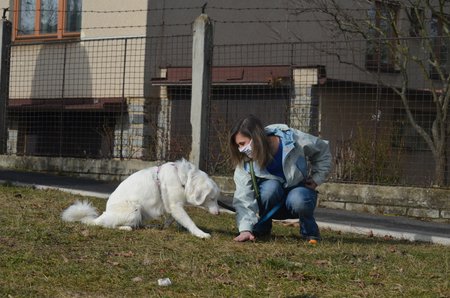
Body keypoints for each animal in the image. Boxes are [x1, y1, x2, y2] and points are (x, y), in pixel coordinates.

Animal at [61, 159, 220, 239]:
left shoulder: (171, 206)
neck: (184, 179)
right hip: (134, 208)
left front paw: (169, 226)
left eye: (217, 199)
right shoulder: (176, 205)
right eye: (212, 198)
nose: (218, 213)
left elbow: (172, 218)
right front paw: (200, 233)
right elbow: (189, 221)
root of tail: (103, 214)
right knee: (108, 224)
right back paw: (126, 227)